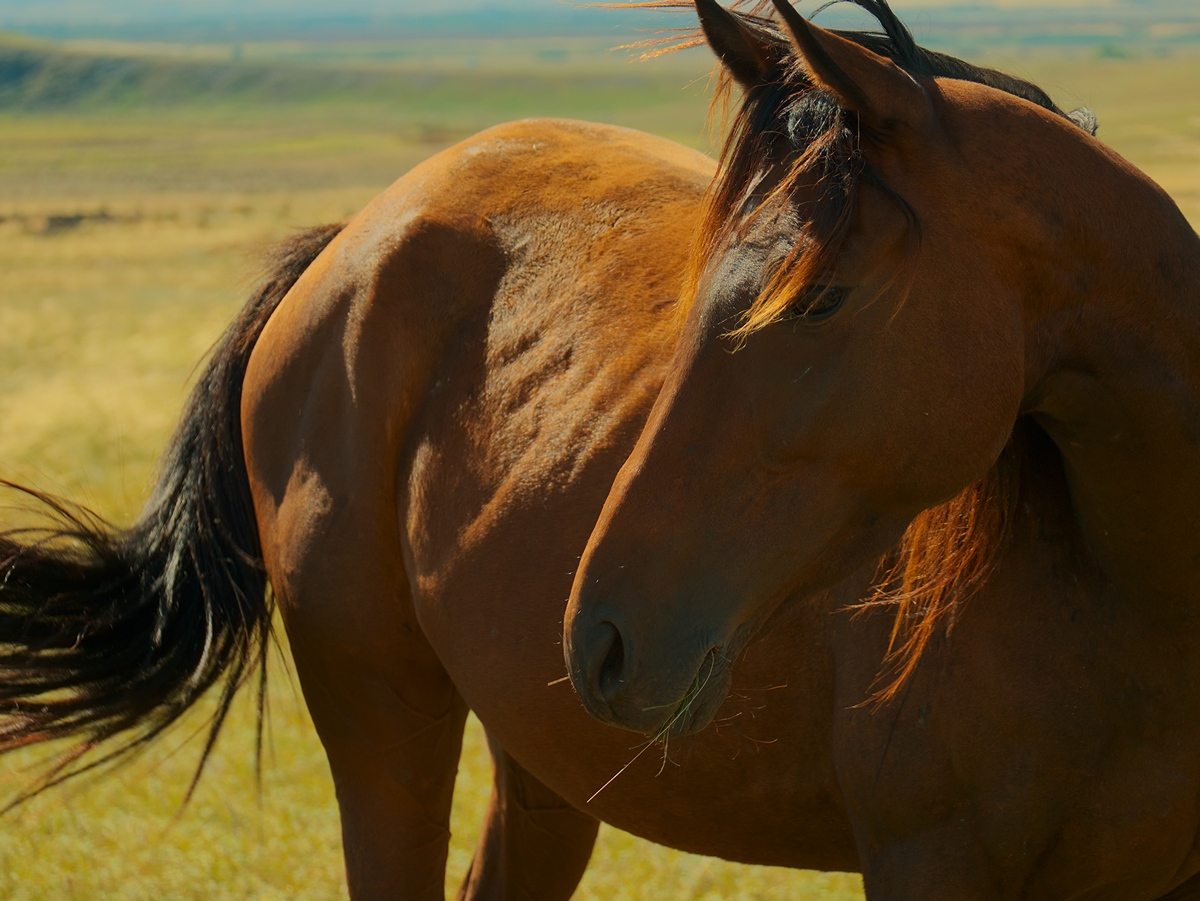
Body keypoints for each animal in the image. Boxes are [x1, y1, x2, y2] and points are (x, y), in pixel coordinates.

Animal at [0, 0, 1195, 897]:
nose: (604, 640)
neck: (1127, 610)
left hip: (541, 768)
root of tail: (354, 239)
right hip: (386, 727)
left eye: (819, 301)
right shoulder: (928, 863)